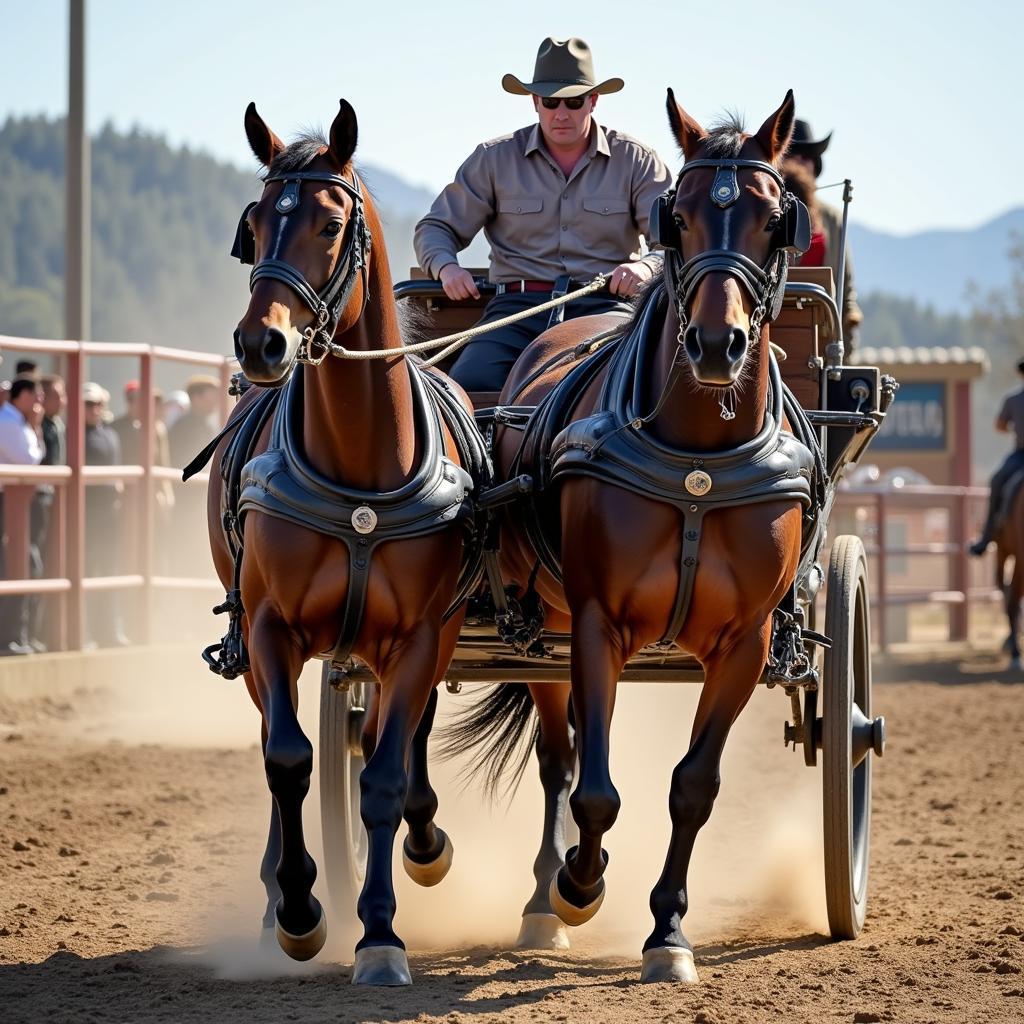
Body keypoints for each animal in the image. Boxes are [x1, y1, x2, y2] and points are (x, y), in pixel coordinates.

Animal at [208, 99, 483, 987]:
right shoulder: (268, 629)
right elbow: (288, 759)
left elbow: (387, 777)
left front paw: (381, 935)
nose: (260, 343)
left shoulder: (422, 638)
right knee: (280, 744)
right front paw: (299, 911)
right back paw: (276, 903)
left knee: (398, 744)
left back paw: (425, 846)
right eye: (256, 223)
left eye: (330, 225)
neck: (363, 463)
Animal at [448, 92, 815, 978]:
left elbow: (694, 786)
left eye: (773, 218)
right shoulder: (594, 624)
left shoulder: (747, 643)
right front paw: (582, 885)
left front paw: (669, 932)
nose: (717, 344)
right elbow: (595, 789)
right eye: (676, 217)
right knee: (559, 757)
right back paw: (544, 903)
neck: (699, 460)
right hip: (544, 626)